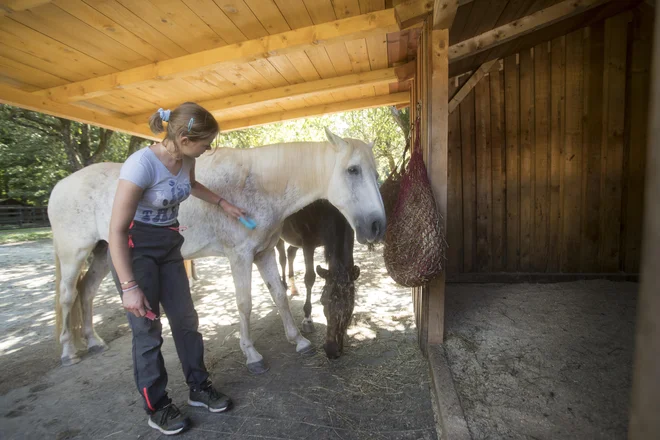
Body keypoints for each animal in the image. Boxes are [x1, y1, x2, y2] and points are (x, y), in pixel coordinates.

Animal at [274, 201, 358, 360]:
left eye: (350, 305)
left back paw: (293, 288)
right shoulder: (307, 242)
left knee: (290, 253)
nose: (332, 350)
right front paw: (307, 319)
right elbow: (309, 278)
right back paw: (284, 285)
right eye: (323, 301)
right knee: (282, 257)